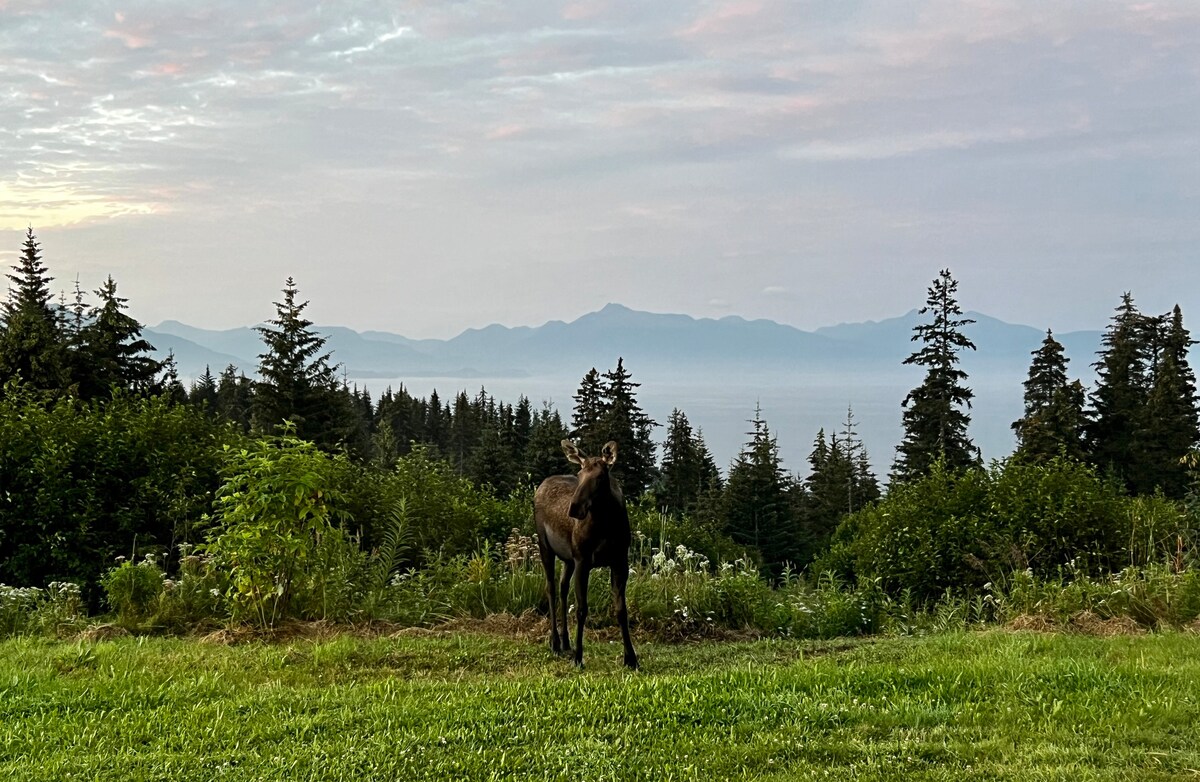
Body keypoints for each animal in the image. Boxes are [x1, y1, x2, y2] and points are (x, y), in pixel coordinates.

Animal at [535, 436, 638, 666]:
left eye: (600, 477)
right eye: (580, 474)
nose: (574, 508)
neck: (606, 525)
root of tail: (541, 485)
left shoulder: (620, 560)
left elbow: (621, 610)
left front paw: (631, 658)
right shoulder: (583, 560)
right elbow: (582, 610)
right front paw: (579, 657)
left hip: (568, 558)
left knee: (563, 587)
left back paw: (565, 642)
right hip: (545, 545)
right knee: (550, 588)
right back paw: (555, 642)